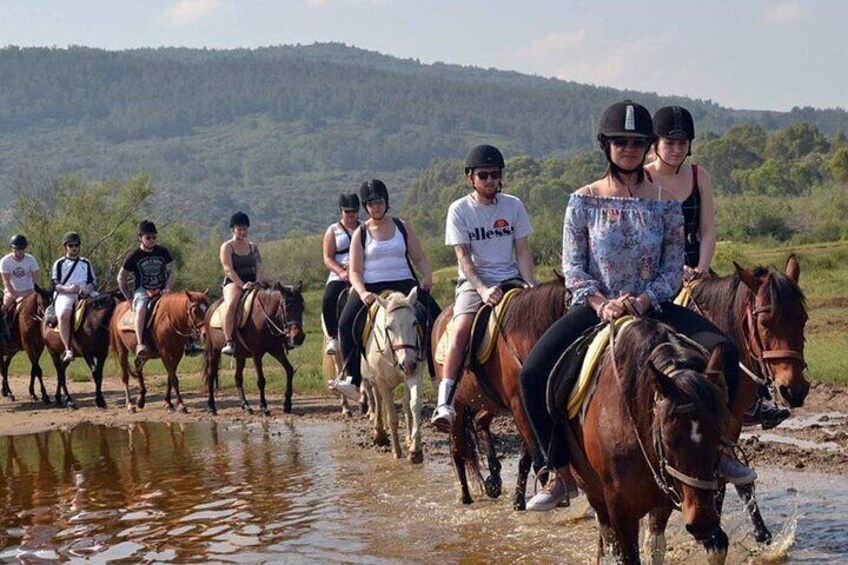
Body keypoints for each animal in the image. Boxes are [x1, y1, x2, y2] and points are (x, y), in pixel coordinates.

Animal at [202, 282, 304, 414]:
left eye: (302, 307)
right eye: (286, 307)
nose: (298, 337)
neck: (264, 317)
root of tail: (210, 309)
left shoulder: (276, 349)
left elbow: (289, 370)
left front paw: (287, 404)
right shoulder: (257, 353)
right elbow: (261, 380)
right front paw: (263, 407)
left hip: (240, 355)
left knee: (238, 378)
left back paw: (245, 406)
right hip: (214, 351)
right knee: (211, 376)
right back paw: (211, 407)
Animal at [362, 288, 424, 460]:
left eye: (415, 322)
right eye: (389, 327)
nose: (407, 364)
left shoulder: (414, 375)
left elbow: (414, 406)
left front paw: (415, 449)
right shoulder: (382, 382)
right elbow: (392, 417)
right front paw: (397, 451)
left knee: (405, 405)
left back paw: (408, 439)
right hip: (375, 380)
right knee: (377, 399)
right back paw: (380, 434)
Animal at [684, 252, 808, 540]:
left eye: (803, 319)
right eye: (764, 323)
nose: (794, 390)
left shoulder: (733, 421)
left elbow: (728, 478)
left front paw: (761, 533)